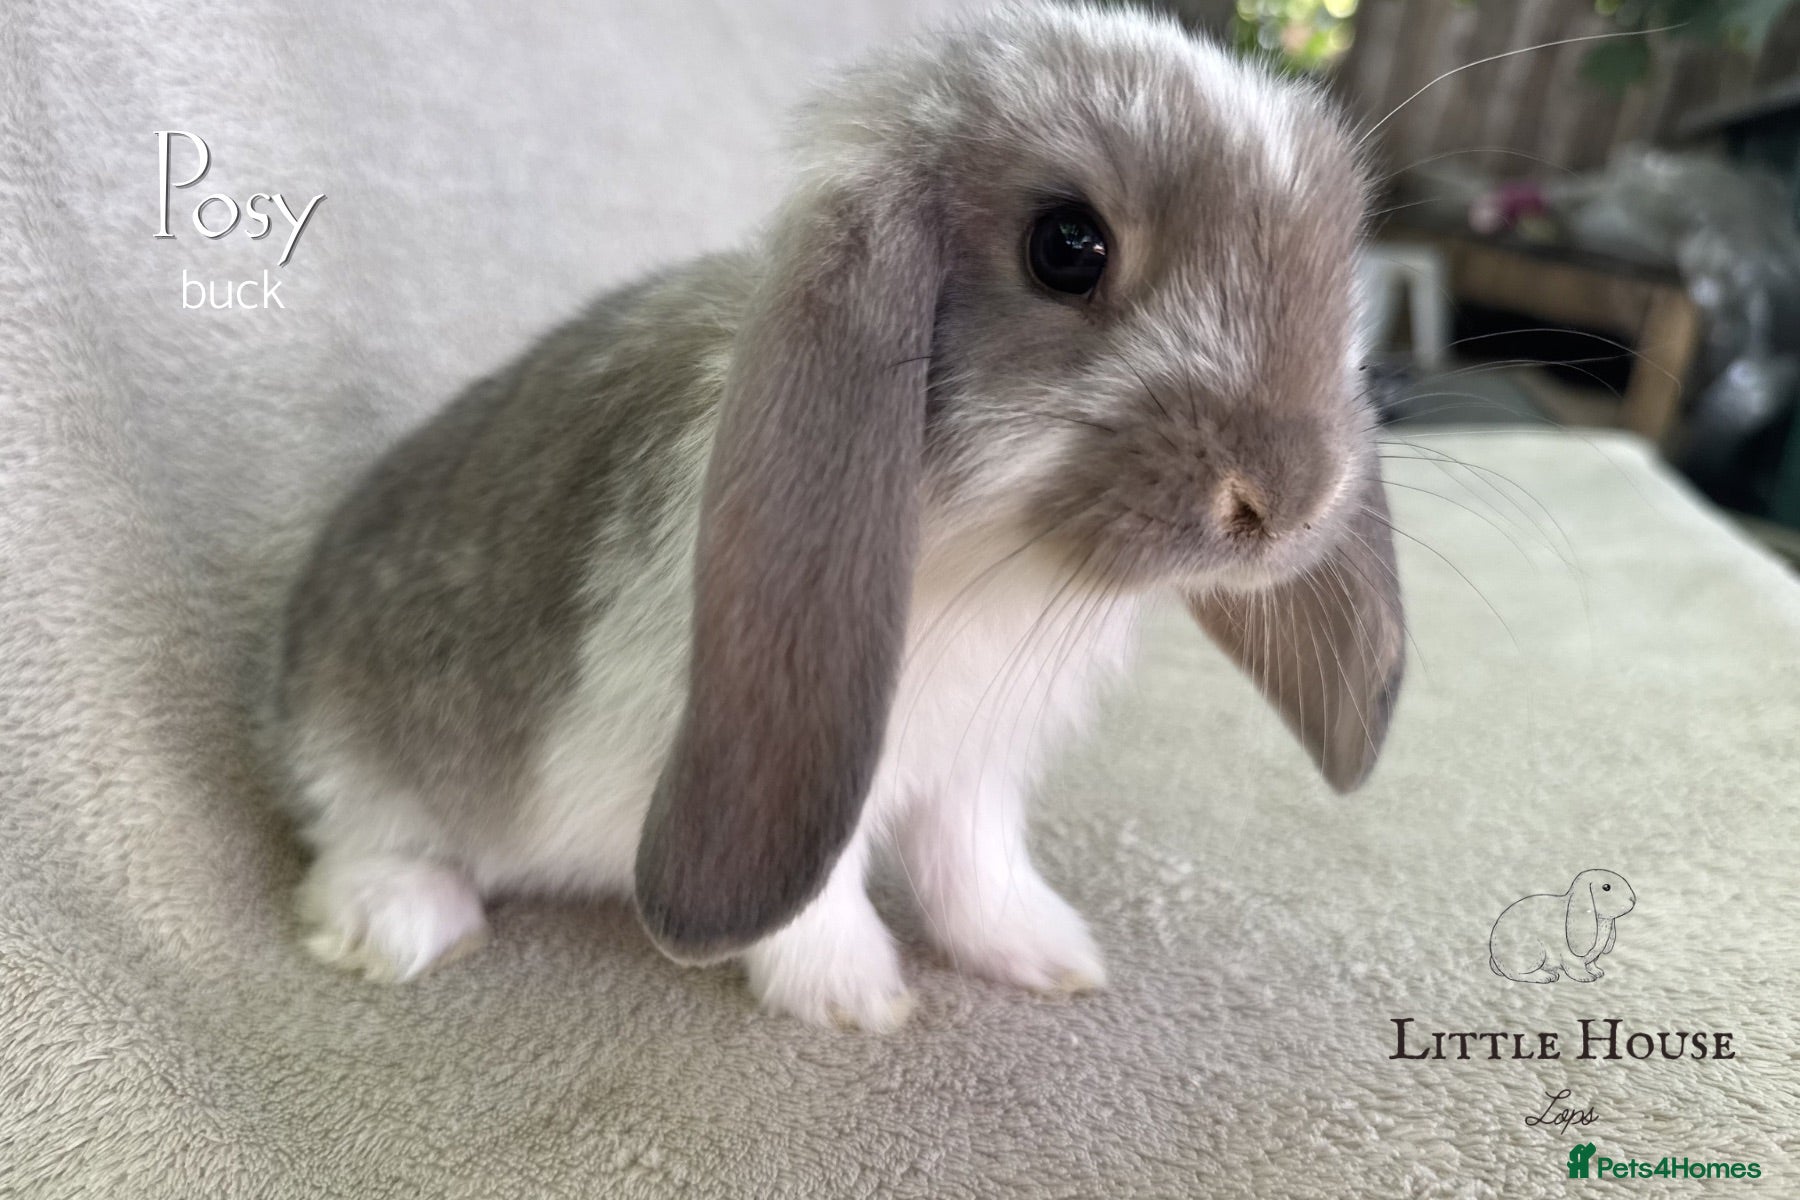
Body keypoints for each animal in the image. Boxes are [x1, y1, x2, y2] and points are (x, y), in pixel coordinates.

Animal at [269, 2, 1406, 1030]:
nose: (1291, 499)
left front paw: (1049, 957)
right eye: (1068, 247)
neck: (992, 552)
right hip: (367, 754)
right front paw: (858, 999)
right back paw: (404, 927)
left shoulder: (969, 772)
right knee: (352, 838)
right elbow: (819, 891)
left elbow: (975, 867)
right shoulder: (807, 758)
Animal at [1489, 870, 1635, 984]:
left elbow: (1591, 964)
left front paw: (1598, 972)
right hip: (1533, 953)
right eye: (1606, 887)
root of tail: (1495, 956)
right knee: (1515, 973)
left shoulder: (1592, 958)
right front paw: (1587, 977)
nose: (1633, 899)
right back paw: (1546, 977)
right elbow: (1576, 967)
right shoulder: (1570, 957)